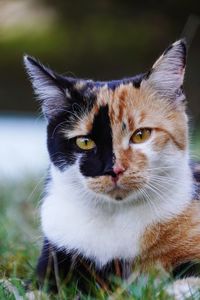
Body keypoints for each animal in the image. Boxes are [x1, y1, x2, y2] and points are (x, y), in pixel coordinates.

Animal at [23, 39, 200, 296]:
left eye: (141, 135)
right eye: (84, 142)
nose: (113, 169)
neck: (115, 216)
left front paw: (177, 290)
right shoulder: (55, 256)